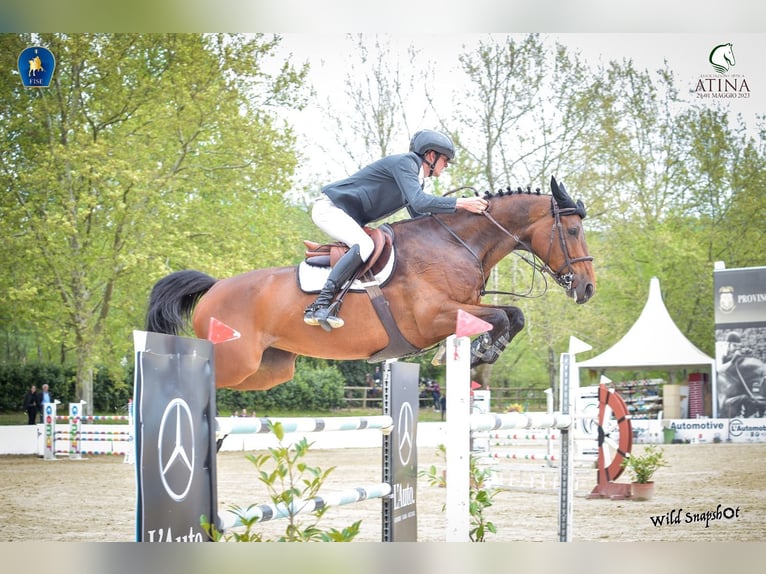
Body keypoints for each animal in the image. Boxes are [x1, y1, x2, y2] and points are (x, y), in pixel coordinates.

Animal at [146, 176, 600, 394]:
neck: (458, 244)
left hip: (266, 370)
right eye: (573, 229)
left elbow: (513, 315)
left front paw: (479, 352)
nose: (588, 289)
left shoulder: (461, 310)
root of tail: (215, 286)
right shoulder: (434, 317)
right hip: (234, 360)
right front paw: (476, 352)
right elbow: (503, 316)